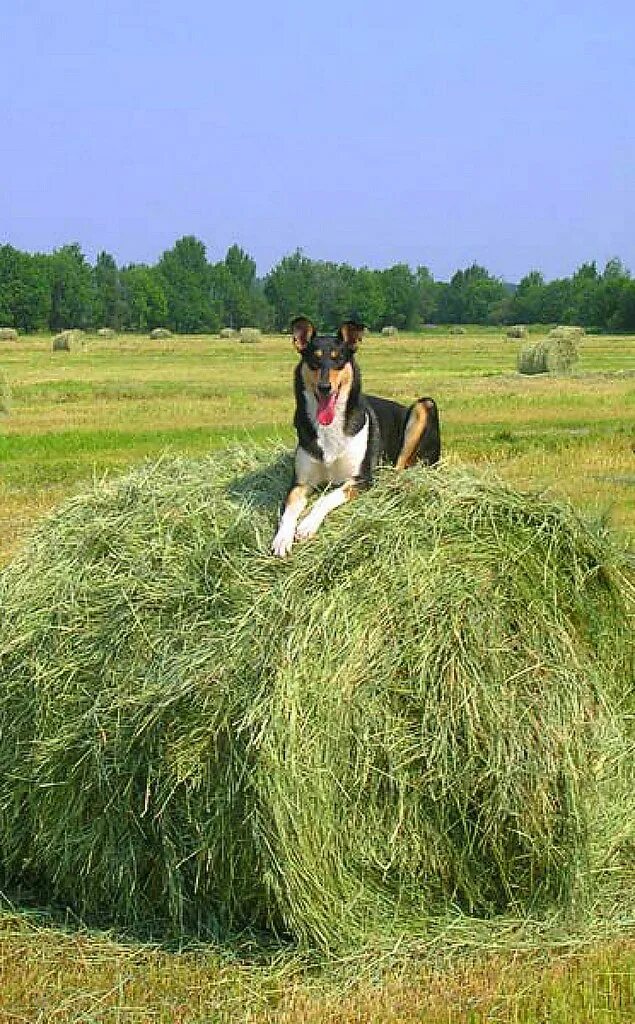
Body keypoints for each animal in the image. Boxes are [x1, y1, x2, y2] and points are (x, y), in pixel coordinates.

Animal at [270, 315, 438, 557]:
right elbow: (288, 510)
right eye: (314, 360)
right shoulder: (300, 483)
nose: (324, 387)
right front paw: (282, 538)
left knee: (399, 467)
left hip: (424, 405)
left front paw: (307, 525)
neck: (330, 427)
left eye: (338, 359)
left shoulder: (360, 479)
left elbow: (326, 498)